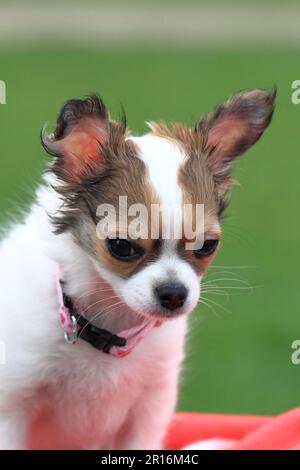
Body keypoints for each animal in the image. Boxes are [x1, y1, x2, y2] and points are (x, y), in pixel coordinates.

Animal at [0, 88, 274, 448]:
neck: (110, 326)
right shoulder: (13, 403)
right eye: (121, 246)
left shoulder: (149, 408)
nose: (173, 293)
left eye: (207, 245)